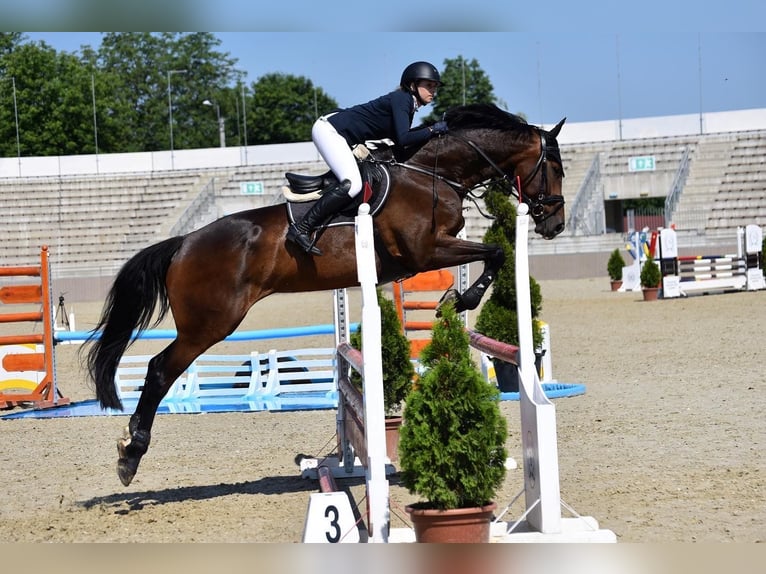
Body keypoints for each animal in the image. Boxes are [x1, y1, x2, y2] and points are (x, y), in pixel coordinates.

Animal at [83, 103, 567, 486]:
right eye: (555, 168)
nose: (555, 225)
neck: (432, 174)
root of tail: (183, 242)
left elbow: (494, 253)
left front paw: (458, 299)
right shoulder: (425, 250)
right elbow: (497, 251)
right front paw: (462, 300)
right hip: (210, 323)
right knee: (160, 370)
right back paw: (131, 454)